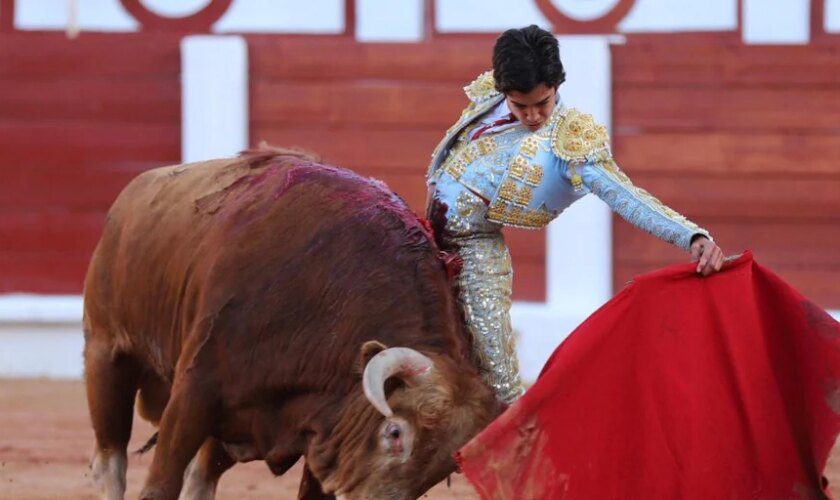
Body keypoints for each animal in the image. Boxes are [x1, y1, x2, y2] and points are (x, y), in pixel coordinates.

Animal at [83, 149, 498, 500]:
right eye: (394, 432)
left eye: (436, 473)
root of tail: (135, 190)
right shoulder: (195, 390)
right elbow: (159, 485)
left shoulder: (323, 424)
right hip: (107, 353)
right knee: (112, 463)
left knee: (200, 478)